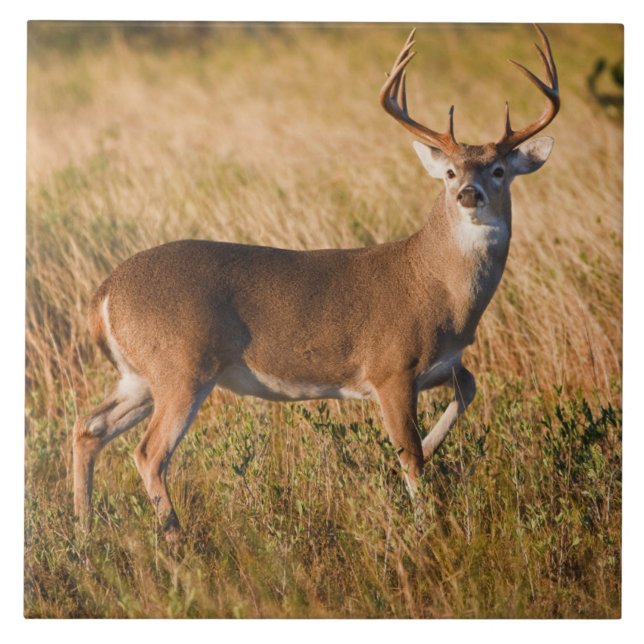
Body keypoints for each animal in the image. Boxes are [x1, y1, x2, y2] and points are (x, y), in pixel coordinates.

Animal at [73, 24, 559, 541]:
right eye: (449, 171)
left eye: (499, 169)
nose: (469, 193)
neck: (438, 287)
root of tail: (104, 294)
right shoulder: (390, 367)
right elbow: (411, 456)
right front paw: (426, 528)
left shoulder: (443, 364)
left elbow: (467, 390)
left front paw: (415, 457)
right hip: (181, 367)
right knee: (148, 453)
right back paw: (176, 541)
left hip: (138, 375)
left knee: (88, 428)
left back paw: (83, 532)